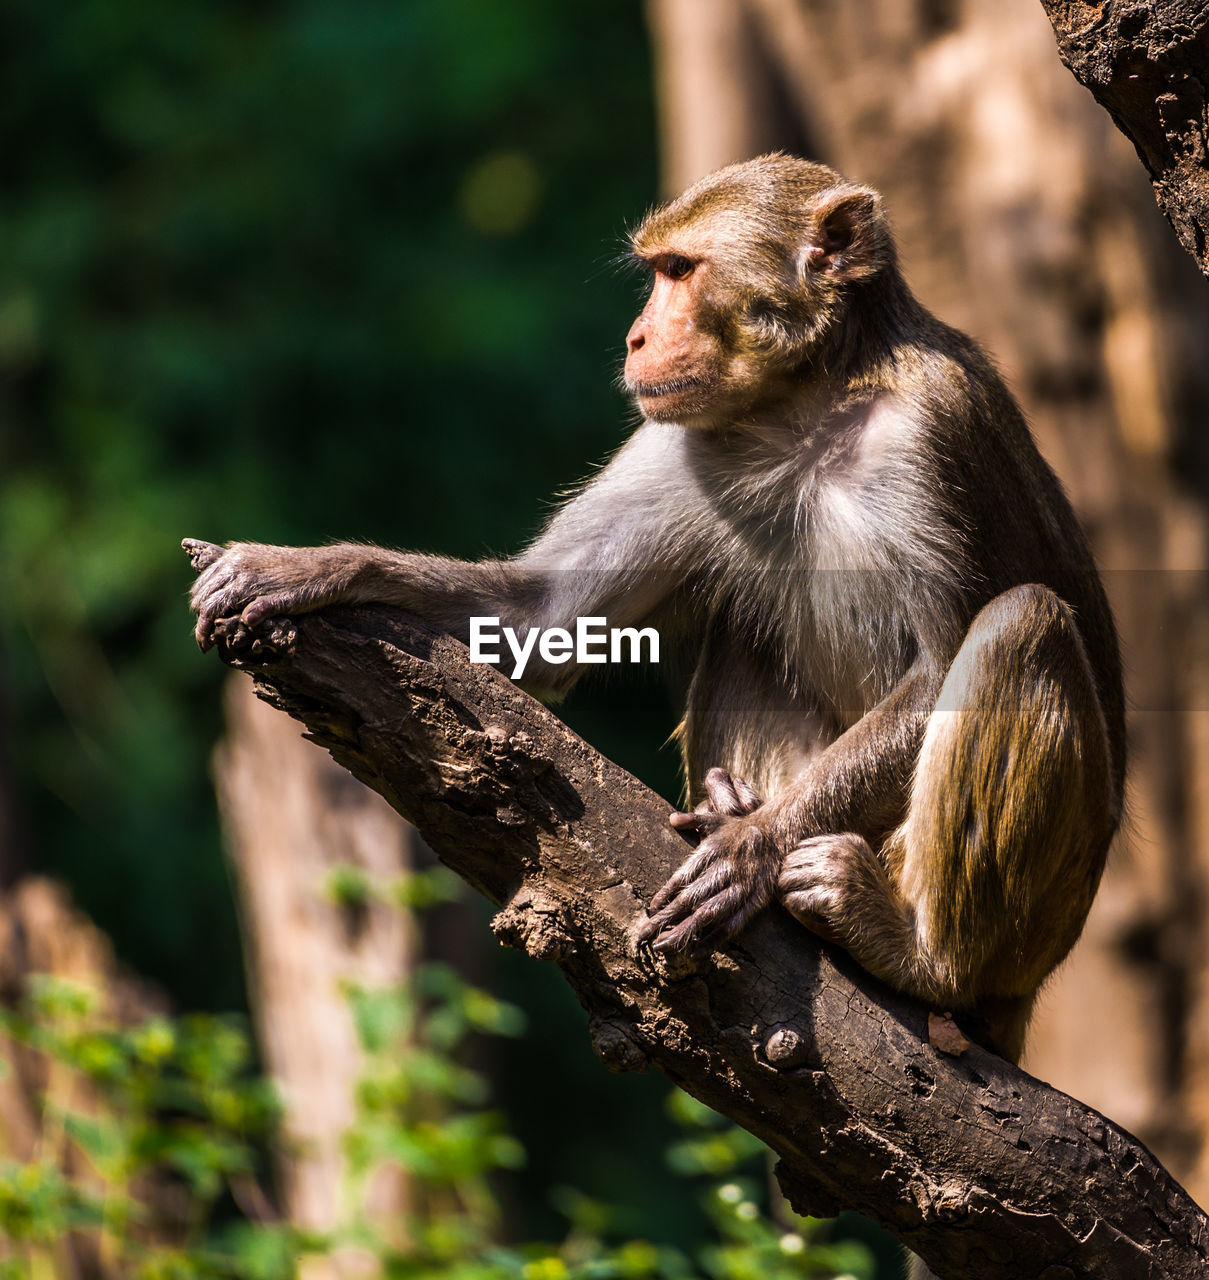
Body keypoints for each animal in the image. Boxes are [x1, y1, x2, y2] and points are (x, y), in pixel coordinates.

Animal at [186, 149, 1120, 1070]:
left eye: (679, 271)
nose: (636, 337)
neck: (803, 409)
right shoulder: (683, 442)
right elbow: (539, 623)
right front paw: (311, 567)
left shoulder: (929, 432)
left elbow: (937, 668)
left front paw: (751, 847)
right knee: (747, 630)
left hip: (1034, 927)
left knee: (1020, 623)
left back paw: (916, 956)